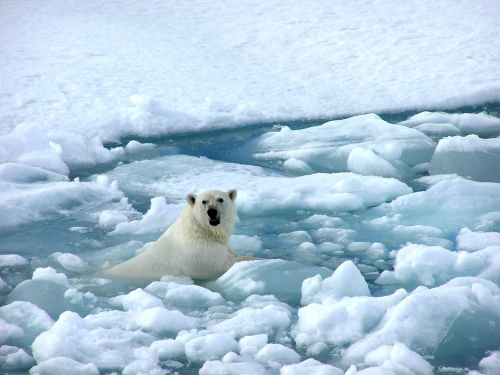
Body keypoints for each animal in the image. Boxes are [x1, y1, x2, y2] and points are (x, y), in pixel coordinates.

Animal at [105, 191, 258, 282]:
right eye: (203, 201)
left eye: (221, 199)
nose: (212, 212)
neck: (201, 230)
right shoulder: (198, 253)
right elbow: (222, 264)